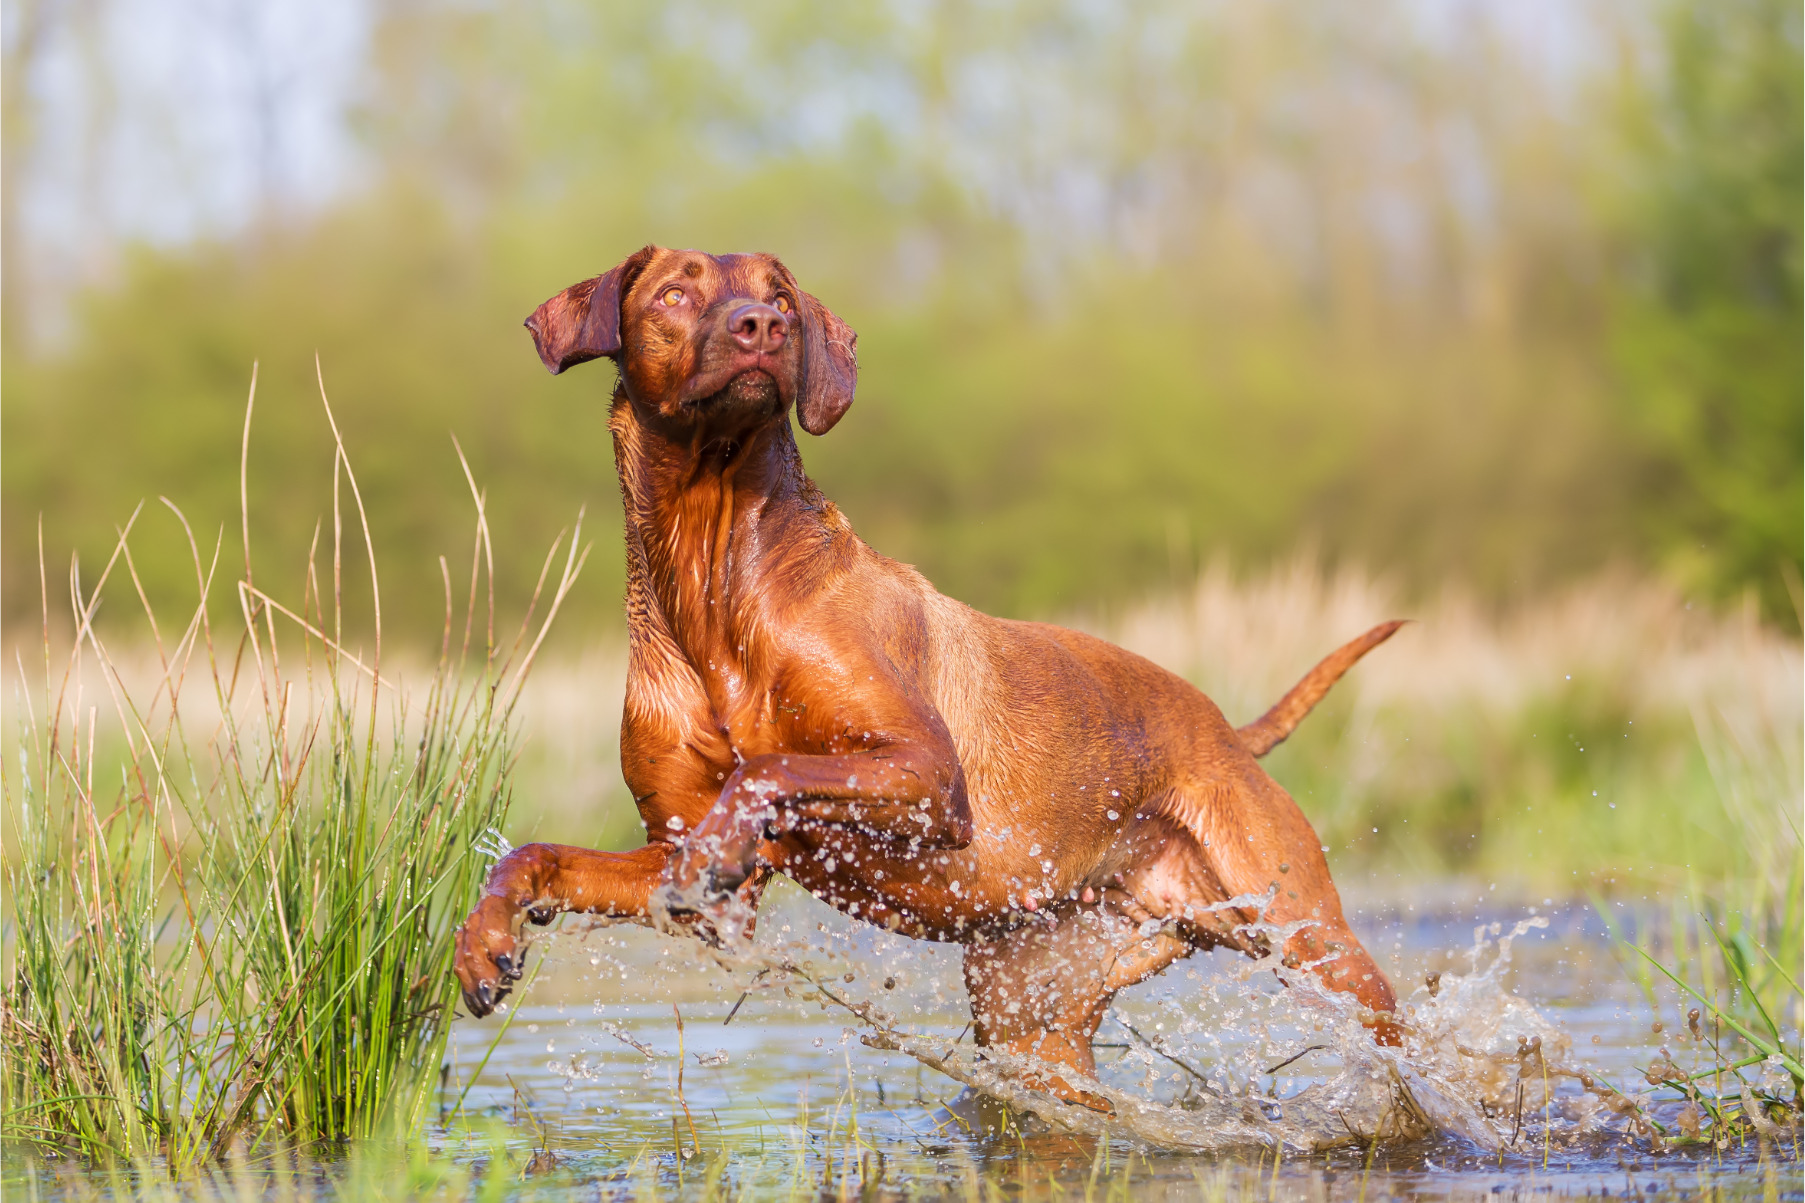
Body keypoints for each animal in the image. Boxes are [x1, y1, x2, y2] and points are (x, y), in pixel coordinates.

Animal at [454, 245, 1407, 1105]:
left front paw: (725, 835)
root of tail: (1225, 731)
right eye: (675, 293)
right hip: (1033, 1012)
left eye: (778, 298)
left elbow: (768, 770)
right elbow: (538, 854)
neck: (712, 569)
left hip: (1314, 940)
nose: (761, 326)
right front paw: (483, 939)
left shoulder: (926, 773)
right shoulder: (686, 864)